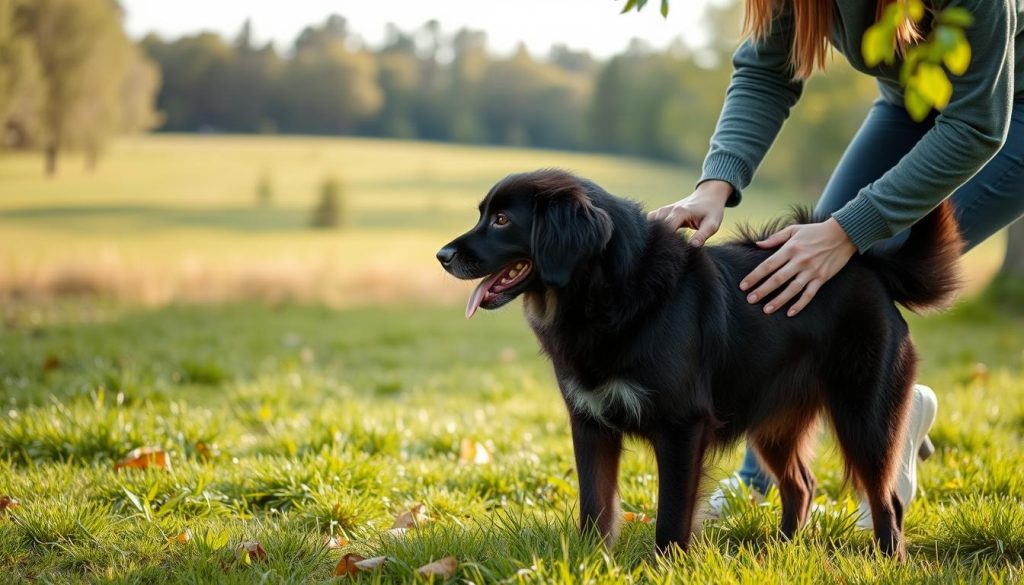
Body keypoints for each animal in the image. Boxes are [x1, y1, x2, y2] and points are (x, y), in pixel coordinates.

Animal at [438, 168, 958, 557]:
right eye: (485, 214)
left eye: (501, 219)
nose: (442, 255)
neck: (609, 292)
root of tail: (869, 268)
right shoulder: (590, 423)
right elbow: (595, 506)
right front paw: (589, 562)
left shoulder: (682, 427)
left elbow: (671, 516)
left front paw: (664, 566)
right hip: (774, 422)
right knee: (802, 484)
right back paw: (784, 548)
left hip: (864, 416)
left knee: (886, 497)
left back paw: (887, 560)